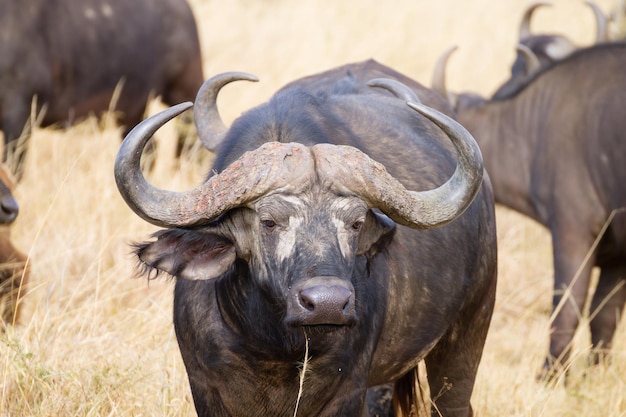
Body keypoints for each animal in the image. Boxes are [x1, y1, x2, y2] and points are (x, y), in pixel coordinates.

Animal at [0, 0, 204, 176]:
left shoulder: (18, 121)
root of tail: (185, 9)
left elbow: (12, 170)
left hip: (185, 92)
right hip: (131, 114)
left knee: (190, 143)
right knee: (149, 151)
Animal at [114, 59, 498, 416]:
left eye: (356, 223)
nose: (328, 303)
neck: (272, 345)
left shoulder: (347, 391)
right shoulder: (205, 387)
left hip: (468, 333)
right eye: (269, 222)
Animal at [434, 43, 624, 376]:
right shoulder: (617, 257)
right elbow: (604, 315)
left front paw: (551, 373)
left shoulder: (572, 232)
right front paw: (596, 371)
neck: (535, 128)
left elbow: (567, 305)